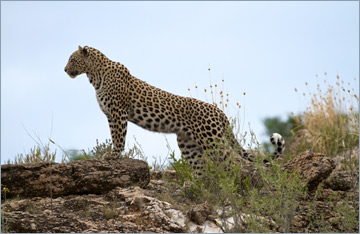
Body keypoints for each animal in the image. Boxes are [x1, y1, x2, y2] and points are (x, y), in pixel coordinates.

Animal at [64, 46, 284, 176]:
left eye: (72, 60)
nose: (65, 70)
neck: (95, 75)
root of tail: (219, 112)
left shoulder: (118, 112)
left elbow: (118, 137)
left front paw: (112, 156)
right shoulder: (111, 115)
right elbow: (114, 135)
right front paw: (112, 155)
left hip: (211, 140)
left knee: (233, 159)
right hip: (188, 143)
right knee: (201, 169)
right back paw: (195, 187)